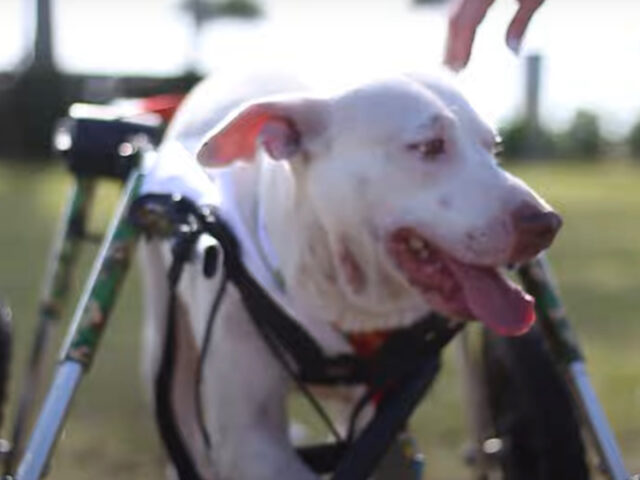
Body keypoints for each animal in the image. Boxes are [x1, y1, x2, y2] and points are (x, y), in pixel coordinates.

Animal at [139, 71, 560, 480]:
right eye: (429, 146)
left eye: (494, 149)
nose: (546, 224)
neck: (350, 301)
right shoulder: (248, 441)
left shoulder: (386, 421)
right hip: (168, 349)